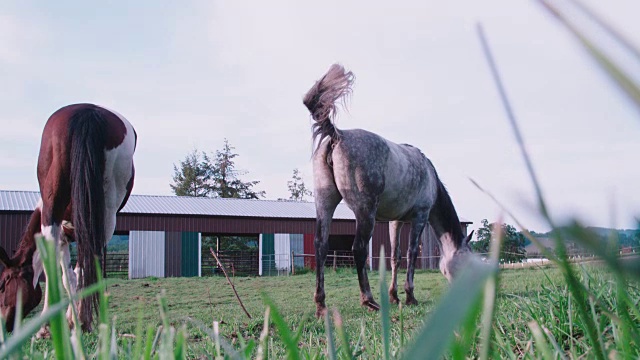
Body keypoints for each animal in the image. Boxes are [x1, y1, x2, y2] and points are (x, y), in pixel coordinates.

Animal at [0, 102, 136, 334]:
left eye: (3, 284)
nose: (5, 324)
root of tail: (87, 111)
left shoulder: (62, 238)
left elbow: (65, 276)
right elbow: (72, 276)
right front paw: (74, 320)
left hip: (58, 211)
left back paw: (53, 325)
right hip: (102, 218)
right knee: (85, 265)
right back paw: (78, 320)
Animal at [302, 64, 472, 318]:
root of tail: (337, 135)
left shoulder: (396, 221)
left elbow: (395, 256)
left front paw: (394, 295)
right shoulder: (420, 217)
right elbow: (411, 253)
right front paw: (409, 296)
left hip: (325, 203)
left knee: (321, 246)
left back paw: (321, 306)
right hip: (365, 213)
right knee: (359, 249)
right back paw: (369, 300)